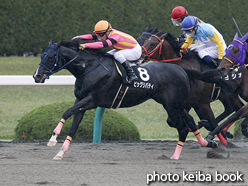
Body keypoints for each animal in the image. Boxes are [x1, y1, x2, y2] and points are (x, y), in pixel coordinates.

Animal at [33, 38, 217, 160]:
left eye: (50, 57)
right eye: (42, 56)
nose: (37, 76)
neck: (89, 68)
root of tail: (182, 70)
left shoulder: (93, 100)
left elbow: (66, 111)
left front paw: (53, 138)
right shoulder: (81, 101)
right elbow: (73, 125)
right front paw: (60, 152)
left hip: (172, 106)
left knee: (183, 128)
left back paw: (176, 156)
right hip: (175, 104)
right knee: (190, 121)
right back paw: (207, 143)